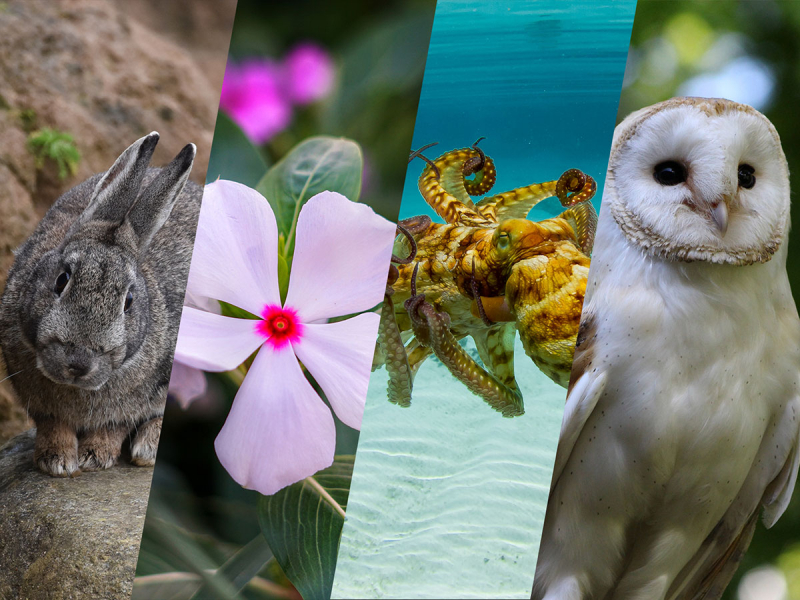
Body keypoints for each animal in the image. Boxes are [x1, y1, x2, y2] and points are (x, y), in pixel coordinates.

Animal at [0, 132, 200, 478]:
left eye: (128, 301)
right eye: (62, 279)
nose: (79, 362)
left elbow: (115, 426)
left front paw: (95, 456)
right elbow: (52, 423)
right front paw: (57, 461)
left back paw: (148, 448)